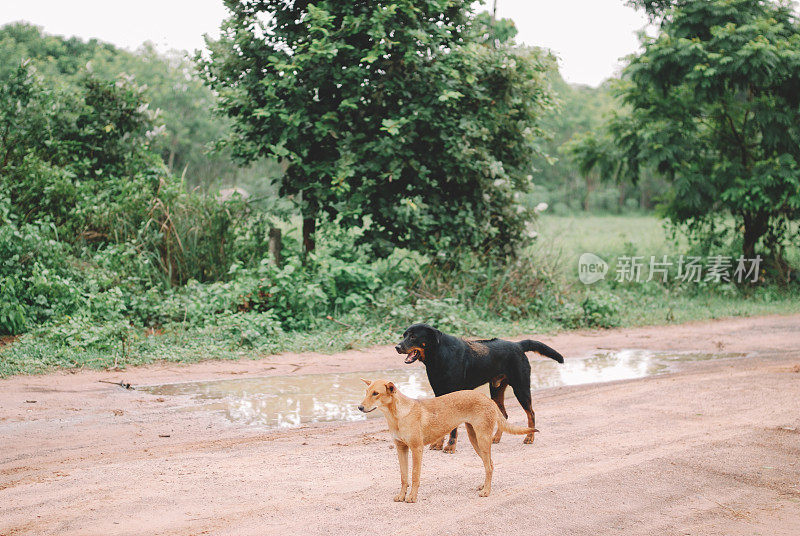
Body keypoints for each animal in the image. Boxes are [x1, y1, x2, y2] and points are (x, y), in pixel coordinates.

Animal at [358, 376, 536, 502]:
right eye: (366, 392)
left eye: (376, 393)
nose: (359, 407)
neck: (397, 415)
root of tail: (488, 399)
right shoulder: (401, 449)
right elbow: (403, 476)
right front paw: (401, 496)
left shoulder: (417, 449)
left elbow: (414, 475)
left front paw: (412, 497)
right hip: (475, 440)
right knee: (490, 464)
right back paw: (483, 486)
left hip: (483, 440)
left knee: (489, 466)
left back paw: (486, 491)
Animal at [394, 322, 564, 452]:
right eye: (404, 335)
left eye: (413, 336)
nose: (397, 347)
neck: (437, 357)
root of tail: (517, 345)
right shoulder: (439, 393)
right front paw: (438, 443)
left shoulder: (454, 393)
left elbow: (453, 427)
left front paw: (450, 446)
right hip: (496, 389)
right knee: (504, 414)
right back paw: (496, 438)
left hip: (521, 387)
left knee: (531, 413)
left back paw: (529, 437)